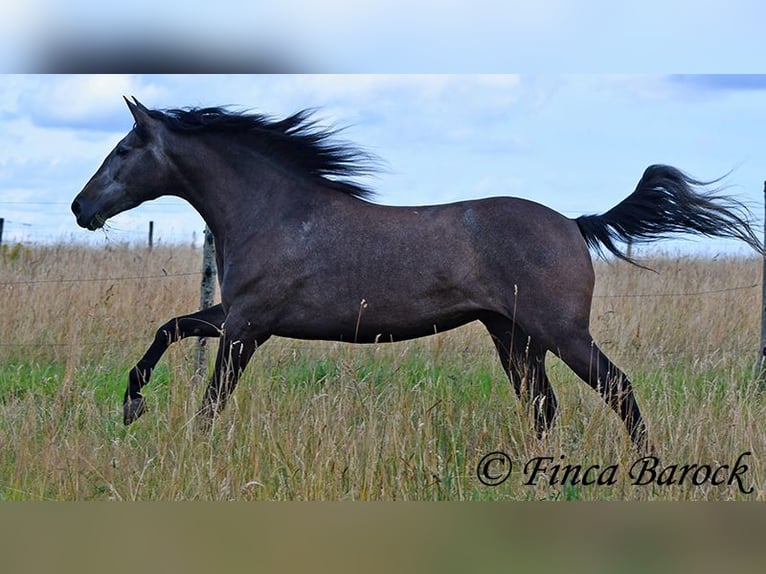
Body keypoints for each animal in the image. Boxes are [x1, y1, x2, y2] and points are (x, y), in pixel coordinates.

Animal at [72, 97, 766, 452]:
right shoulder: (236, 318)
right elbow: (168, 330)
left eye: (125, 149)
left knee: (616, 388)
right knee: (545, 407)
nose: (81, 208)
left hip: (560, 333)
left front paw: (179, 442)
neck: (276, 212)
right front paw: (132, 406)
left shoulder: (247, 326)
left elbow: (211, 397)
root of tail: (573, 222)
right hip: (514, 337)